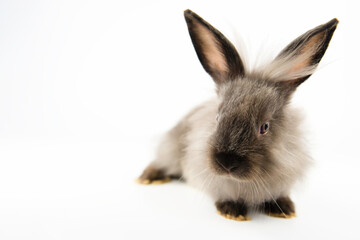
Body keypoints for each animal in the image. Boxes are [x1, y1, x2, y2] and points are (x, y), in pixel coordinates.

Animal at [137, 9, 338, 221]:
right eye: (217, 118)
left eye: (265, 127)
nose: (227, 163)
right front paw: (233, 212)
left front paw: (284, 210)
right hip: (171, 149)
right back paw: (148, 178)